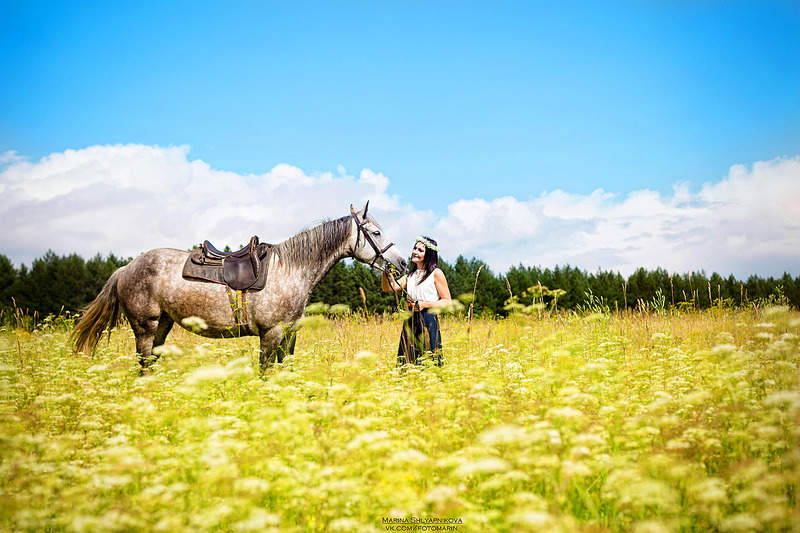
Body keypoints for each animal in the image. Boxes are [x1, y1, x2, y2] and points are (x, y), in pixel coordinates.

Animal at [70, 203, 406, 370]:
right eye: (376, 232)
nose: (402, 264)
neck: (291, 269)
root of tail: (125, 268)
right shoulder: (271, 334)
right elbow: (266, 372)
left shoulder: (289, 335)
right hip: (145, 325)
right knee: (143, 364)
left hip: (163, 324)